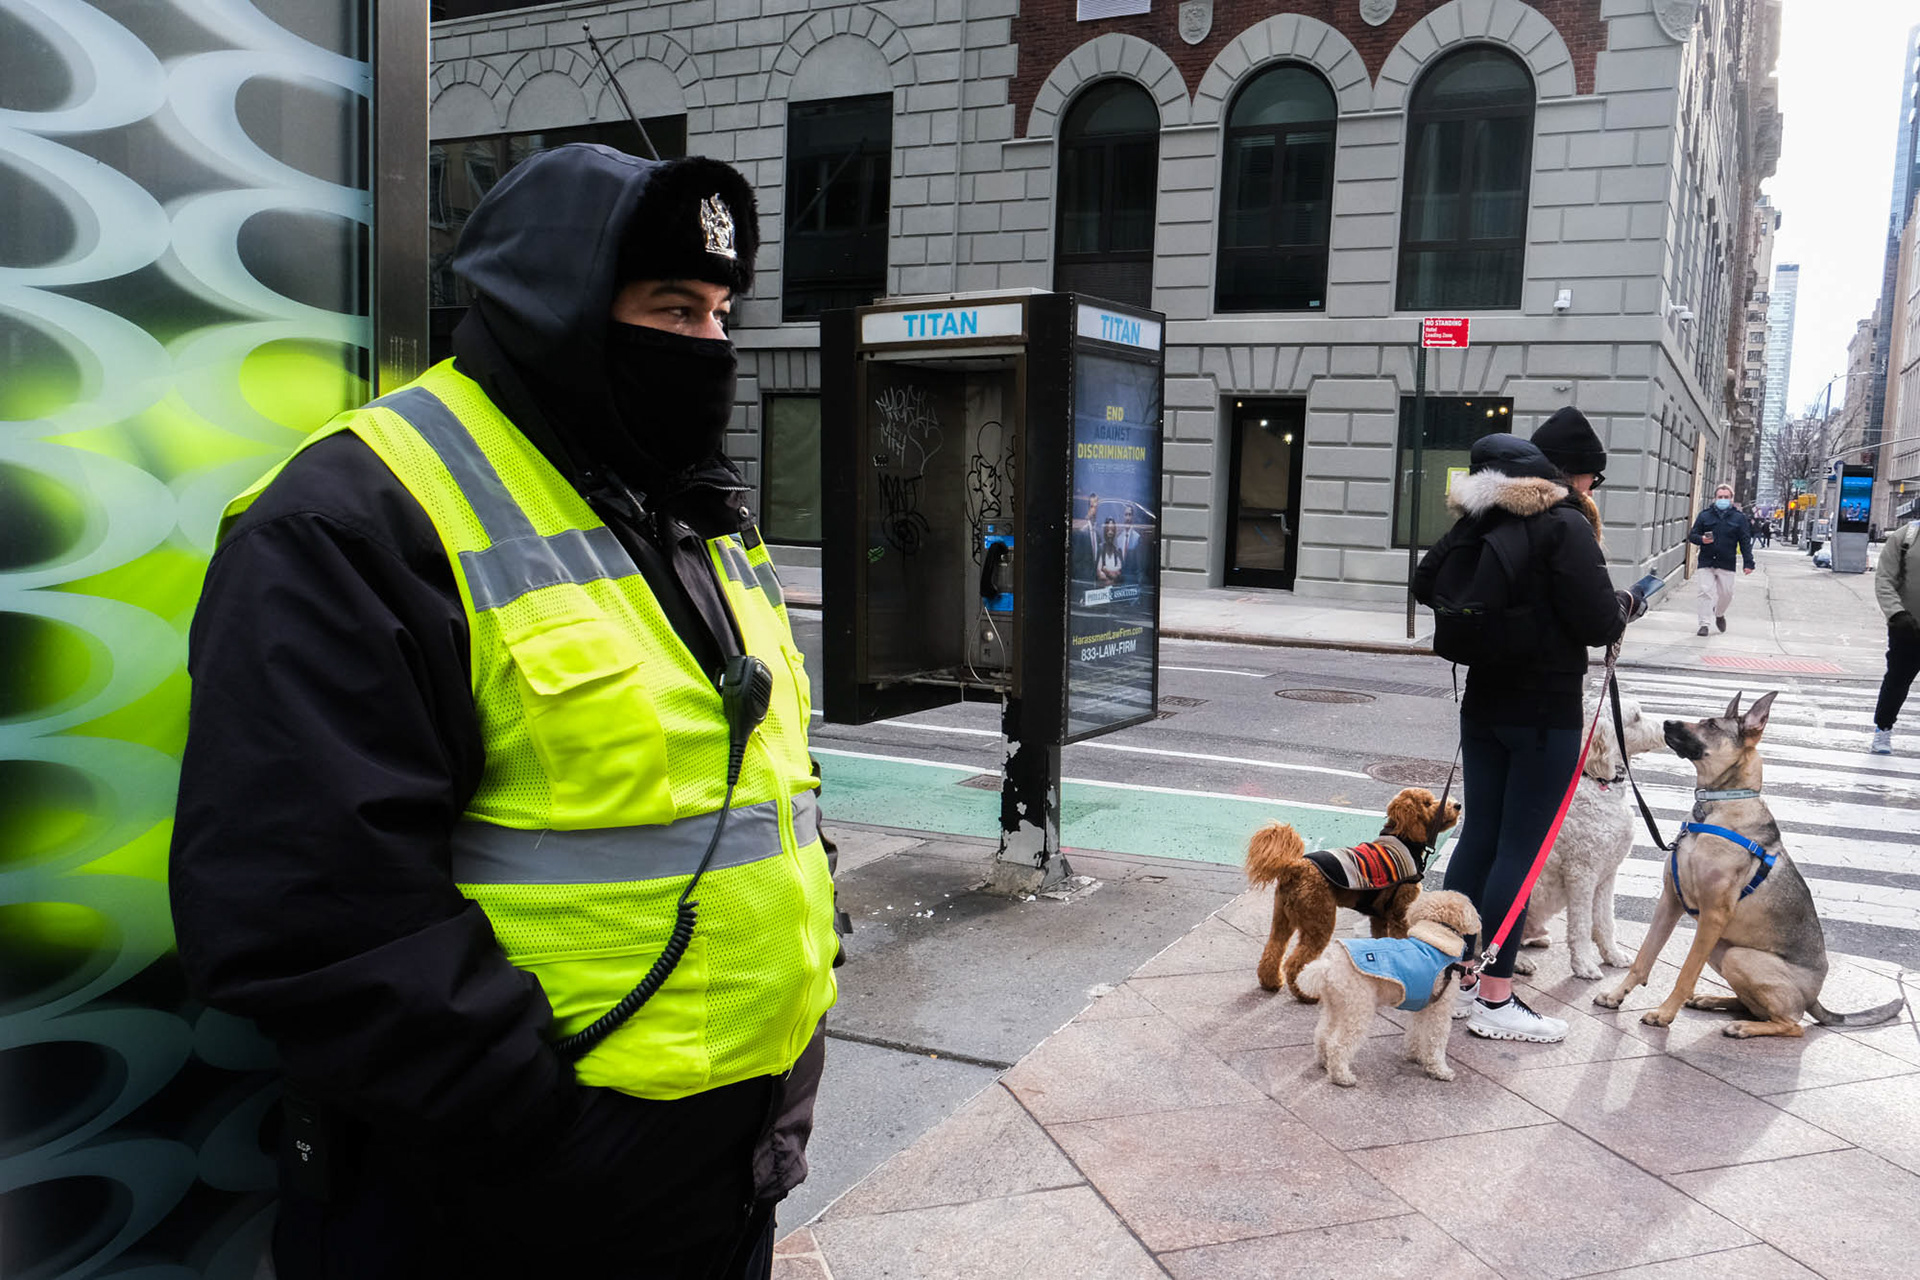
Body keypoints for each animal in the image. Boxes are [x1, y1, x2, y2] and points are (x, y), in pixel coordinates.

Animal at [1247, 788, 1462, 1002]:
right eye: (1427, 803)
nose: (1458, 805)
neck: (1404, 838)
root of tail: (1295, 867)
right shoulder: (1399, 914)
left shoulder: (1380, 917)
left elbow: (1381, 941)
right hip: (1320, 922)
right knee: (1295, 963)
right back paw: (1305, 994)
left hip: (1282, 919)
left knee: (1273, 949)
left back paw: (1271, 982)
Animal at [1296, 890, 1482, 1086]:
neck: (1436, 934)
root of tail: (1328, 965)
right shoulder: (1440, 1008)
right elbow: (1436, 1040)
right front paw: (1440, 1070)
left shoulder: (1422, 1005)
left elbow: (1416, 1031)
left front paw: (1415, 1055)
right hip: (1358, 1008)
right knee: (1337, 1044)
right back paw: (1342, 1077)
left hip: (1336, 1006)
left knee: (1322, 1034)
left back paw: (1324, 1062)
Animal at [1515, 695, 1669, 980]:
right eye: (1636, 717)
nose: (1666, 726)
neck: (1596, 781)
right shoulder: (1582, 873)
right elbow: (1582, 924)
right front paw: (1584, 965)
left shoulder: (1607, 874)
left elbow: (1605, 920)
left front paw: (1613, 956)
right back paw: (1519, 962)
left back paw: (1537, 938)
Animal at [1595, 692, 1906, 1035]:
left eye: (1711, 725)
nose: (1667, 722)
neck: (1716, 805)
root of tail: (1814, 999)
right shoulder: (1670, 901)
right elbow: (1644, 957)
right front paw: (1616, 995)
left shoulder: (1713, 916)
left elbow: (1686, 973)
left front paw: (1664, 1013)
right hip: (1722, 948)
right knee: (1755, 1007)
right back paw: (1713, 1001)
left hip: (1738, 955)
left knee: (1791, 1023)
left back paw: (1744, 1027)